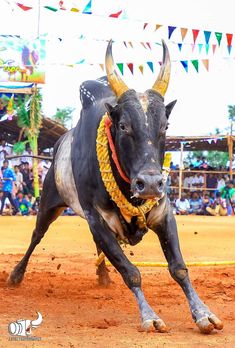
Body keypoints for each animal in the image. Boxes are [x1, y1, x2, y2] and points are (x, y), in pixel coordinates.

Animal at [7, 40, 224, 334]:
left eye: (165, 126)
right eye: (123, 126)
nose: (150, 184)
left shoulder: (163, 214)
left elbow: (178, 268)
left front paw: (203, 313)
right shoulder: (95, 217)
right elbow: (130, 272)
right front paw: (149, 316)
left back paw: (103, 276)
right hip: (50, 204)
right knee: (36, 237)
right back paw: (16, 275)